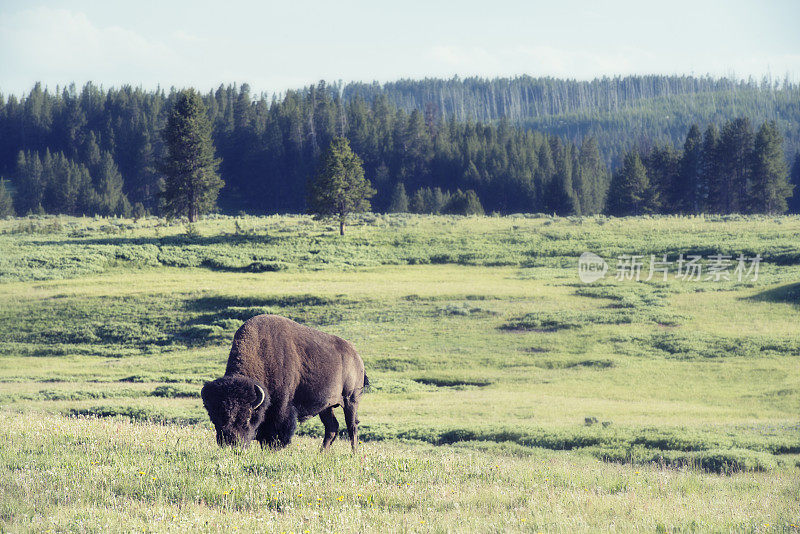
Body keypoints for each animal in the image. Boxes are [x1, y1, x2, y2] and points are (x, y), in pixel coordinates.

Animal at [202, 316, 368, 454]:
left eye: (247, 417)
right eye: (215, 417)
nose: (231, 444)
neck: (262, 352)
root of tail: (356, 356)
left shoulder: (282, 407)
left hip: (351, 400)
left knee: (352, 426)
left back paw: (354, 453)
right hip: (326, 407)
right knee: (332, 427)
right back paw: (321, 453)